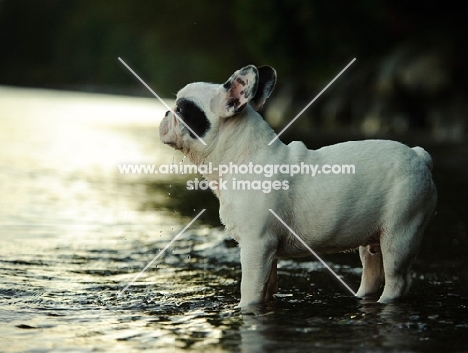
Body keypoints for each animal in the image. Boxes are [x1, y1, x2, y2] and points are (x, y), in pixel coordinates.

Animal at [159, 65, 436, 306]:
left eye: (181, 109)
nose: (165, 112)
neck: (242, 157)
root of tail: (418, 154)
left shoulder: (255, 245)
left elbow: (249, 289)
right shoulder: (267, 252)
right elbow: (267, 287)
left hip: (400, 232)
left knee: (397, 280)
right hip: (372, 242)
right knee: (372, 274)